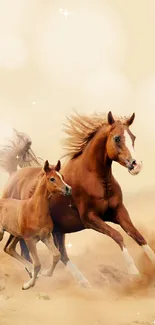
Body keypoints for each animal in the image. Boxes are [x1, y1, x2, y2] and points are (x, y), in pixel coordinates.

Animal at [1, 112, 155, 286]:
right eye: (117, 138)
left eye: (133, 137)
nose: (136, 165)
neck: (95, 178)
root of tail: (13, 175)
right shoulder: (90, 218)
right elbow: (118, 235)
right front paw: (133, 271)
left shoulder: (119, 212)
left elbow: (138, 236)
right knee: (24, 251)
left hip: (58, 230)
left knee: (61, 254)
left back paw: (84, 283)